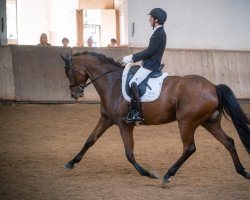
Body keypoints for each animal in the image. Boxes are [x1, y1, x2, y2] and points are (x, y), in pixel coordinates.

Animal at [59, 50, 249, 188]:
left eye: (68, 72)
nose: (75, 94)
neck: (112, 83)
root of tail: (213, 87)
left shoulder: (124, 125)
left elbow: (129, 154)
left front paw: (149, 173)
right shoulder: (106, 119)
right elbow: (89, 141)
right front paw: (71, 163)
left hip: (186, 122)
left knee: (189, 148)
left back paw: (167, 176)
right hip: (209, 122)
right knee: (229, 142)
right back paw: (243, 171)